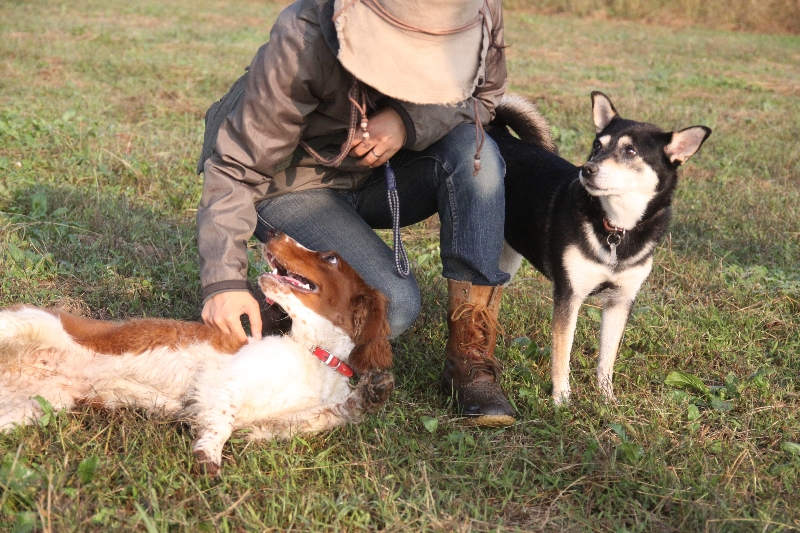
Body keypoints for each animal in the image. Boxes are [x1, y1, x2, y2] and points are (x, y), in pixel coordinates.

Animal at [0, 231, 394, 476]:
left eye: (330, 258)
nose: (273, 233)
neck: (315, 354)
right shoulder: (228, 378)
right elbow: (222, 419)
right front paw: (208, 454)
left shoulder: (273, 423)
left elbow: (328, 416)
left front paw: (372, 394)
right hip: (28, 324)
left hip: (35, 407)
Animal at [490, 92, 711, 404]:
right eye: (597, 146)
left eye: (630, 151)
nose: (587, 169)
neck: (616, 228)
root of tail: (495, 130)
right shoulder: (569, 295)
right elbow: (562, 354)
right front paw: (561, 400)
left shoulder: (621, 299)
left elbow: (607, 357)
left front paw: (607, 399)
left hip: (506, 261)